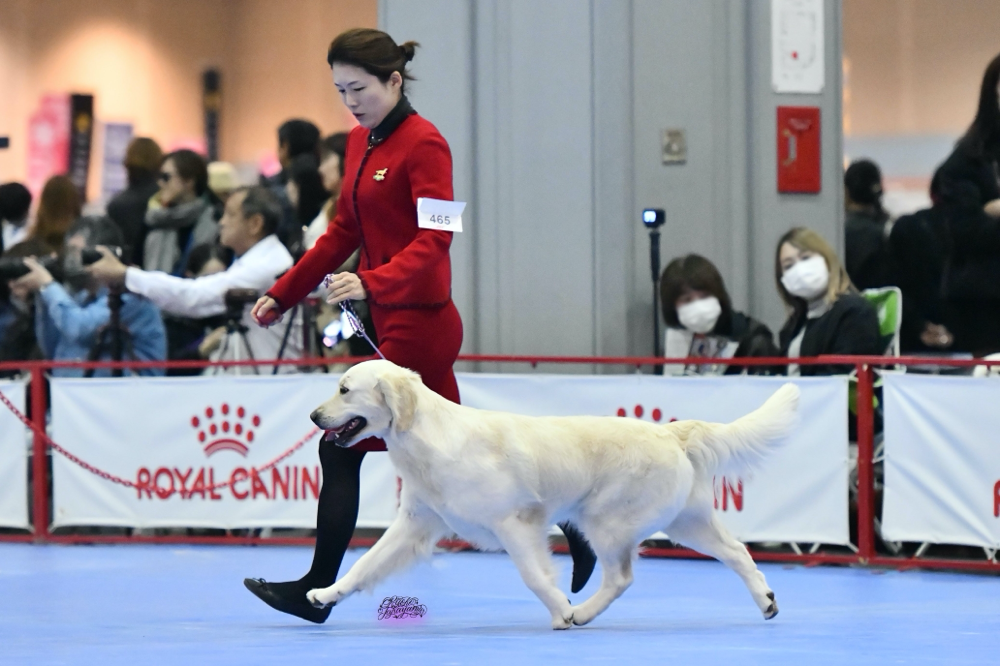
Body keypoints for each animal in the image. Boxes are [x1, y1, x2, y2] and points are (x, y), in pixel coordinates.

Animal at [304, 360, 796, 624]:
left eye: (344, 390)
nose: (312, 416)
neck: (428, 440)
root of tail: (669, 431)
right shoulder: (415, 525)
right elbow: (364, 564)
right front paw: (324, 595)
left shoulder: (515, 523)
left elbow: (534, 576)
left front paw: (562, 610)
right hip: (685, 520)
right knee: (737, 551)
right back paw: (767, 601)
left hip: (607, 521)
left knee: (621, 577)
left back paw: (583, 612)